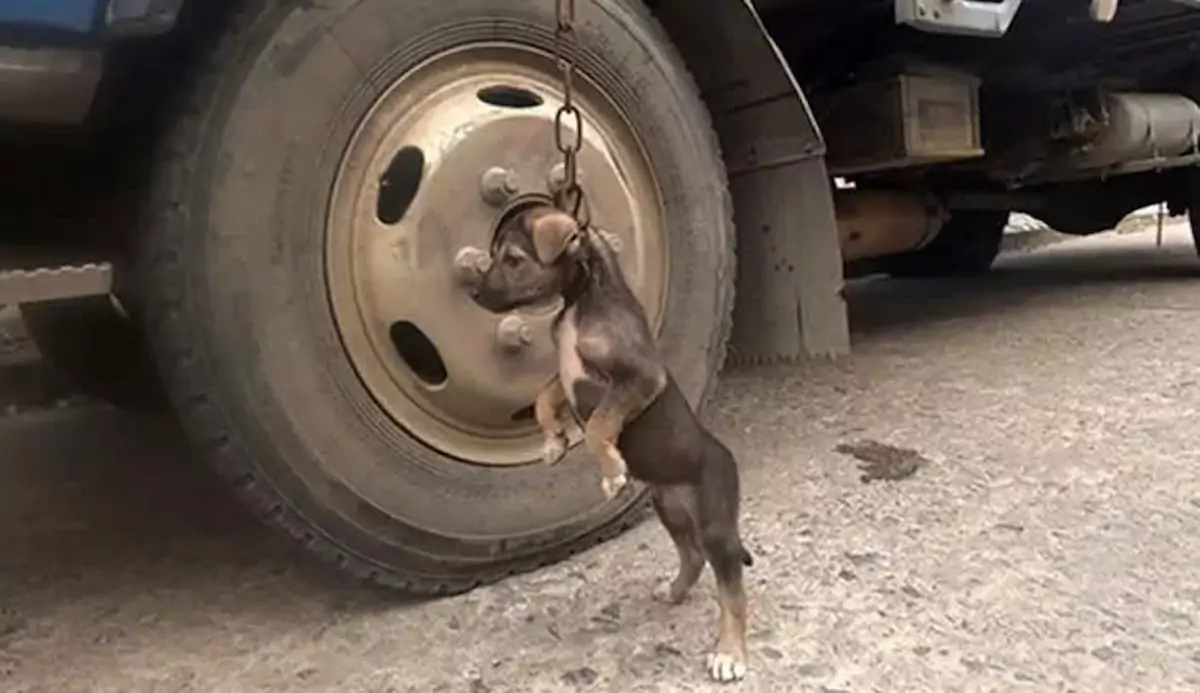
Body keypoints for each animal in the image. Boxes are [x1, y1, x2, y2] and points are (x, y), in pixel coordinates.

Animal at [458, 203, 748, 681]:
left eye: (514, 260)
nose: (475, 293)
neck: (583, 301)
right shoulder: (568, 374)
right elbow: (544, 398)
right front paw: (554, 442)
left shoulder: (640, 378)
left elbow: (597, 425)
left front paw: (611, 471)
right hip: (671, 509)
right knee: (692, 557)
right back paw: (673, 592)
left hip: (716, 524)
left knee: (731, 589)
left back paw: (729, 653)